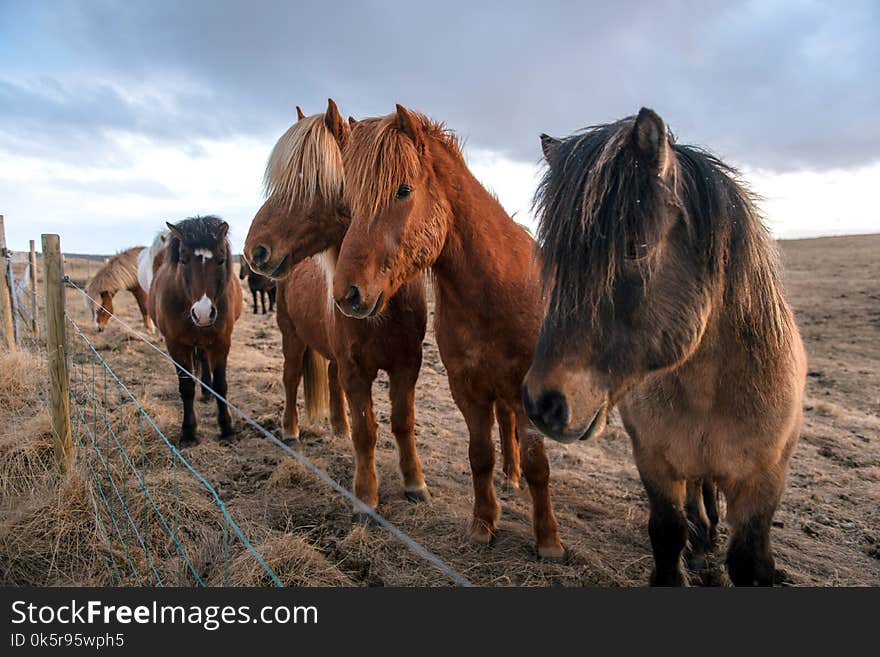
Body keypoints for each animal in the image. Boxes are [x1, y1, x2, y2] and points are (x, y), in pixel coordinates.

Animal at [149, 215, 242, 446]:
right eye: (183, 259)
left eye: (221, 260)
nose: (203, 313)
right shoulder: (176, 345)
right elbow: (186, 388)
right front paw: (188, 433)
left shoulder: (221, 342)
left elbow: (220, 385)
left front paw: (226, 428)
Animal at [334, 105, 568, 556]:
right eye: (351, 200)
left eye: (403, 191)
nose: (346, 293)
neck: (496, 292)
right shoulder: (467, 390)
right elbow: (480, 455)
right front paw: (483, 524)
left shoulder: (528, 395)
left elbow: (538, 465)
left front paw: (548, 541)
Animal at [524, 109, 804, 584]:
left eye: (635, 249)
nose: (542, 403)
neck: (710, 392)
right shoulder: (654, 462)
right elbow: (668, 532)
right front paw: (689, 551)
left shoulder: (764, 480)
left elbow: (749, 560)